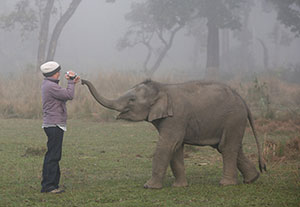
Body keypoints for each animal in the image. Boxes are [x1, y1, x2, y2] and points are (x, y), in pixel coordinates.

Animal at [81, 79, 266, 189]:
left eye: (132, 100)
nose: (81, 81)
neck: (161, 87)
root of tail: (243, 100)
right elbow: (176, 148)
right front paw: (179, 187)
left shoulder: (176, 118)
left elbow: (167, 145)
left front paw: (149, 187)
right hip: (233, 122)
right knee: (230, 147)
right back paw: (252, 179)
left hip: (233, 118)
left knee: (227, 147)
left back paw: (226, 184)